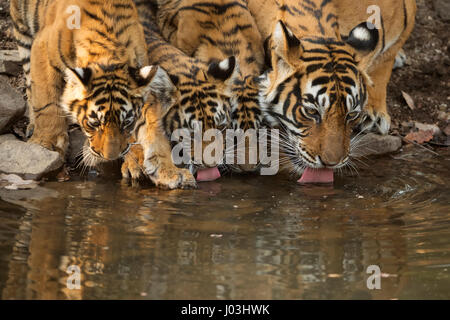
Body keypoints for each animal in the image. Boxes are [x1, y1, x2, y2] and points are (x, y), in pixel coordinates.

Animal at [9, 0, 196, 189]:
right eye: (94, 124)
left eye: (126, 124)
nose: (110, 157)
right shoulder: (43, 49)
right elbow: (46, 102)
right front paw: (46, 143)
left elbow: (150, 129)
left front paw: (167, 170)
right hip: (23, 34)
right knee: (30, 85)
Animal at [244, 0, 416, 184]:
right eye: (311, 112)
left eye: (352, 115)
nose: (331, 163)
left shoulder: (404, 17)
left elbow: (384, 61)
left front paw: (374, 114)